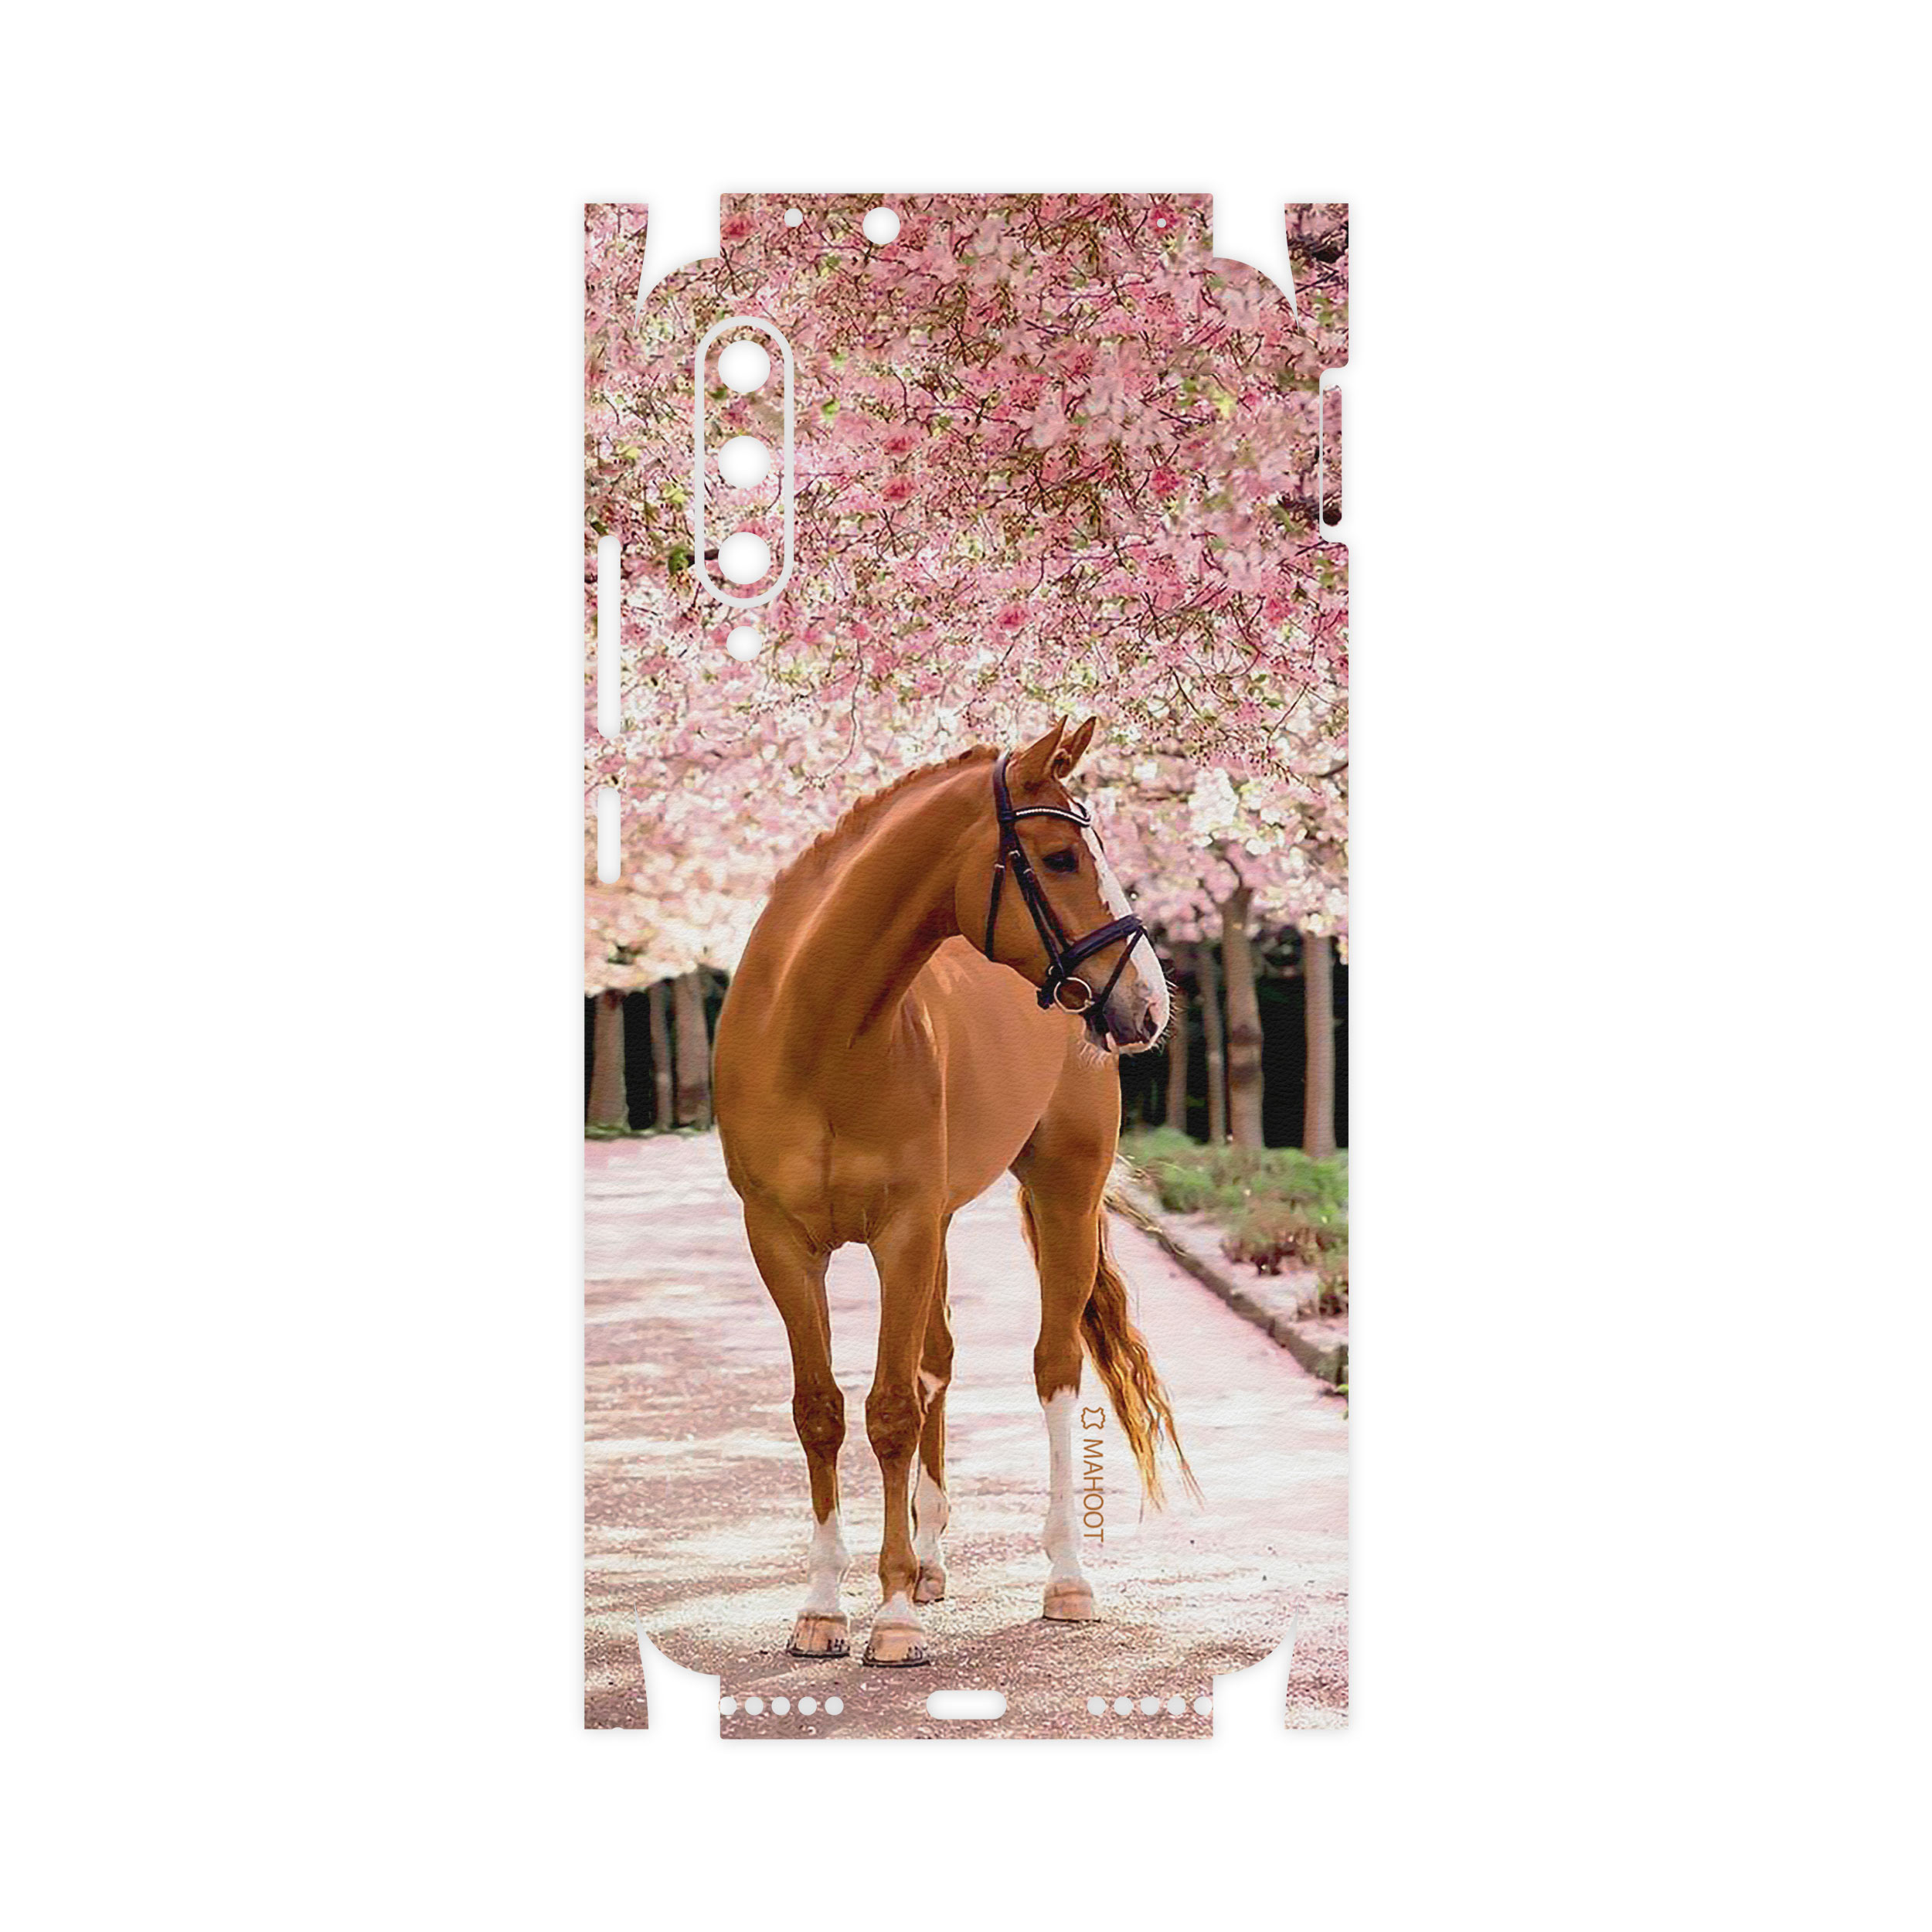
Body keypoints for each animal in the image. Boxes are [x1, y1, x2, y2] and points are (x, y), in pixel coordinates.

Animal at [713, 717, 1194, 1667]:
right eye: (1058, 857)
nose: (1150, 1004)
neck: (817, 1033)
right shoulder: (782, 1241)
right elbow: (822, 1411)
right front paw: (823, 1608)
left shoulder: (900, 1232)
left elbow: (892, 1410)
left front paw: (892, 1617)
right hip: (936, 1226)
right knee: (937, 1360)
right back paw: (931, 1562)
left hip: (1062, 1194)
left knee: (1052, 1368)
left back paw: (1064, 1579)